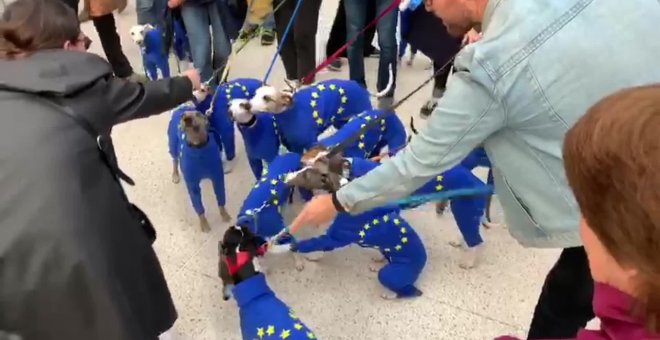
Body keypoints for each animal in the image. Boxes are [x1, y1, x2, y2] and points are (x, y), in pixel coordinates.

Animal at [168, 103, 232, 231]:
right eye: (183, 116)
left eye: (198, 114)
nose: (186, 118)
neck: (198, 148)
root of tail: (181, 106)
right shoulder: (193, 186)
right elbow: (199, 208)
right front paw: (204, 224)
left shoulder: (217, 179)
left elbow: (221, 201)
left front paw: (225, 215)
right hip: (172, 145)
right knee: (174, 160)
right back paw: (175, 175)